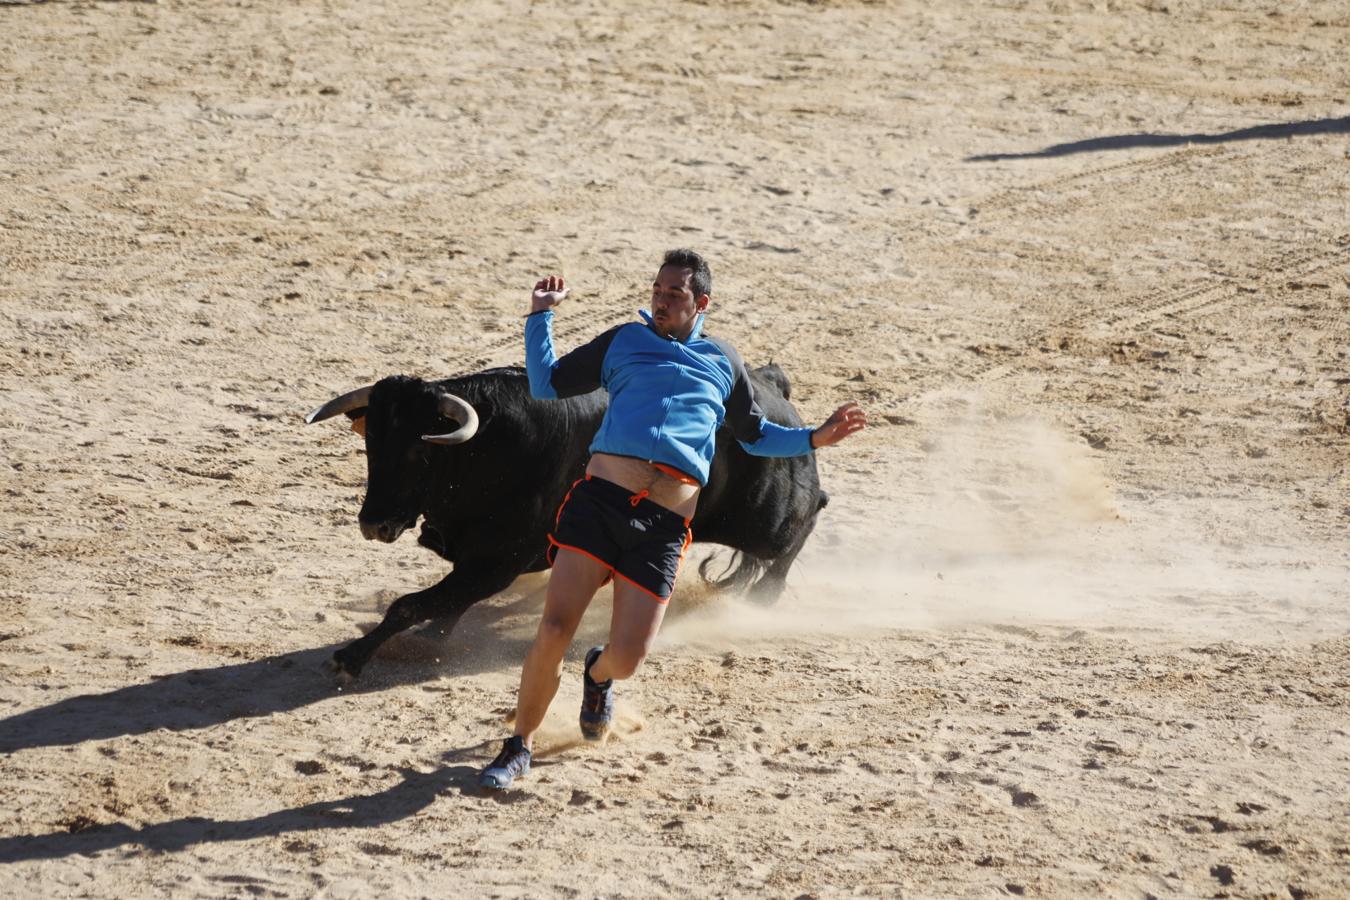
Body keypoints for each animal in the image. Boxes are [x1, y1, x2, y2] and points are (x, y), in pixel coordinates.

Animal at [306, 361, 826, 680]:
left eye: (420, 450)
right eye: (371, 444)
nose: (373, 524)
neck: (487, 447)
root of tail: (767, 387)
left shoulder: (498, 562)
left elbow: (411, 604)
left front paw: (350, 658)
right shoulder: (478, 564)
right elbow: (444, 603)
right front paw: (431, 639)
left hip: (766, 519)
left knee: (808, 516)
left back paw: (764, 595)